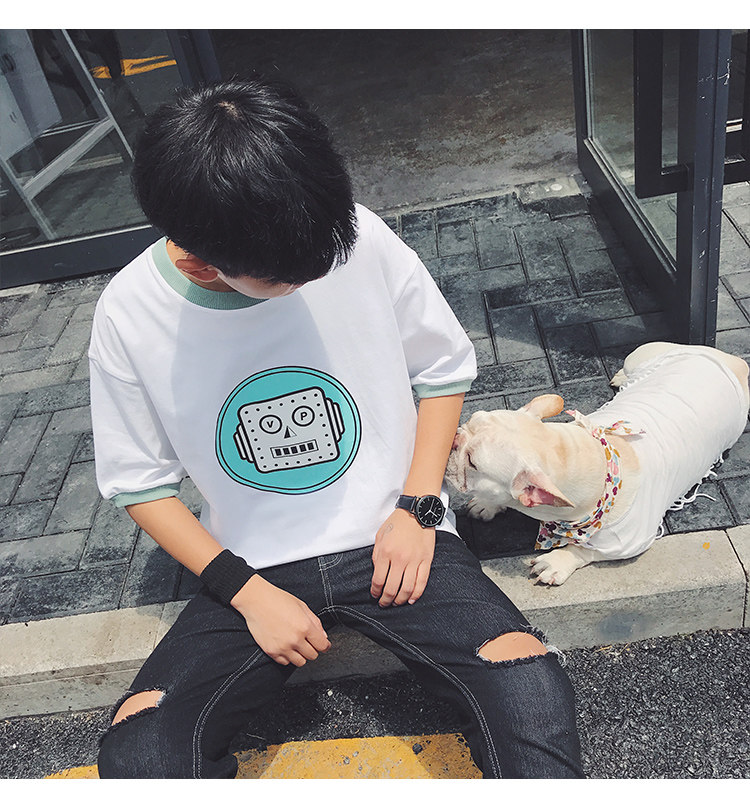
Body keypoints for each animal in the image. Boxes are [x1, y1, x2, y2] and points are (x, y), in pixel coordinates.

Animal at [446, 342, 750, 585]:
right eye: (469, 421)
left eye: (472, 462)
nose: (453, 438)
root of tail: (735, 363)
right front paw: (487, 504)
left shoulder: (629, 542)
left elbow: (587, 549)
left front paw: (557, 560)